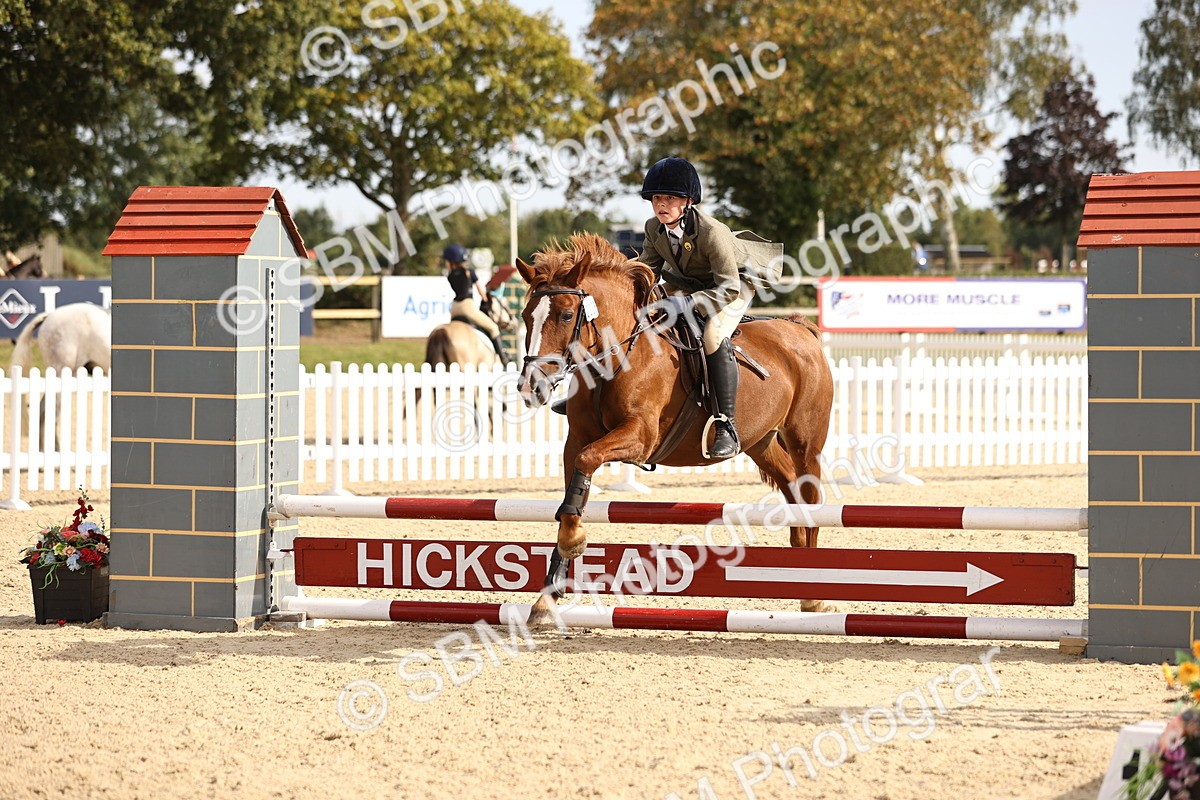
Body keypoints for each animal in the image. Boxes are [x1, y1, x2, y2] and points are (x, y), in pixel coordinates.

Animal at [515, 232, 834, 624]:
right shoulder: (576, 440)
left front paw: (574, 544)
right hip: (760, 443)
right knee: (793, 490)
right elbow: (570, 499)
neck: (617, 355)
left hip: (806, 442)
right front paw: (547, 597)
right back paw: (800, 573)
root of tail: (799, 328)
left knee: (811, 496)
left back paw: (813, 595)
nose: (532, 386)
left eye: (565, 314)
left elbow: (588, 461)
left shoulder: (641, 436)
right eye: (526, 316)